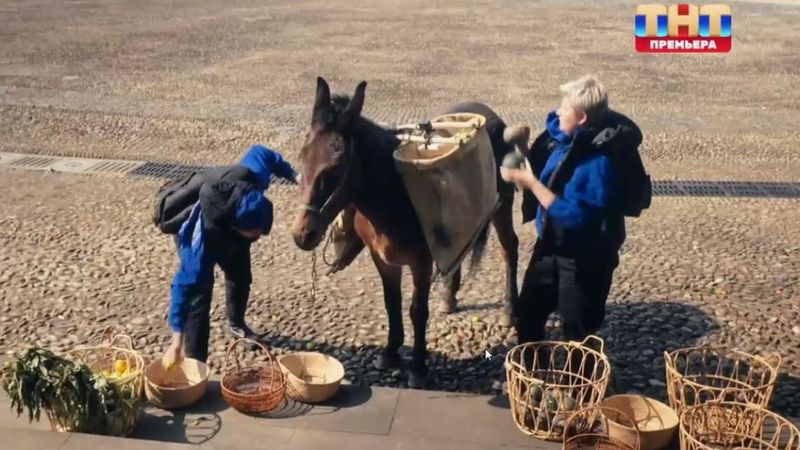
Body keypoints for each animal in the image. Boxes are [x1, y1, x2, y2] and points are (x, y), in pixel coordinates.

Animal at [290, 77, 520, 386]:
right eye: (302, 156)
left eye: (336, 166)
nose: (302, 234)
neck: (393, 194)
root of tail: (486, 111)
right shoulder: (381, 257)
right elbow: (392, 302)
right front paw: (390, 351)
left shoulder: (421, 262)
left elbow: (417, 310)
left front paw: (418, 368)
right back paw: (449, 298)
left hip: (502, 205)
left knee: (510, 249)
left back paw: (509, 310)